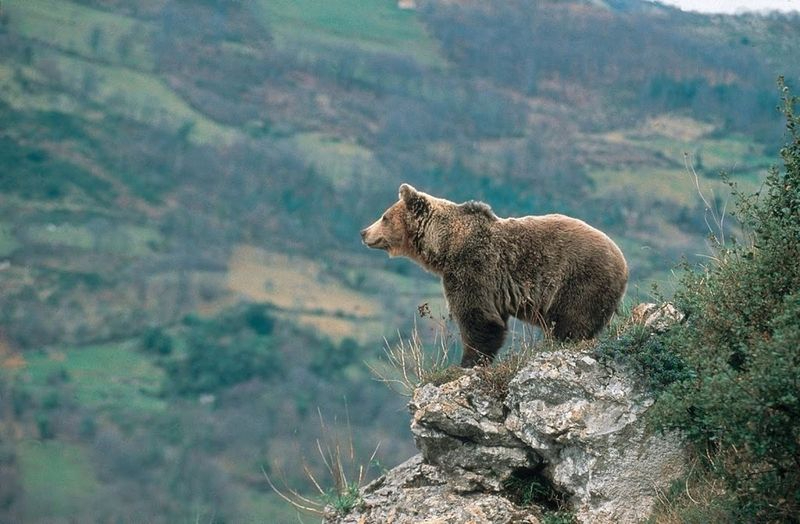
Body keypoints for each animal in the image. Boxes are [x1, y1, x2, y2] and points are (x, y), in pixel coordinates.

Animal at [361, 184, 628, 367]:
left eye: (384, 216)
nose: (364, 232)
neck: (445, 246)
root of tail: (623, 263)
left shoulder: (473, 267)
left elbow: (478, 317)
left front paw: (467, 362)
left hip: (580, 279)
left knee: (572, 322)